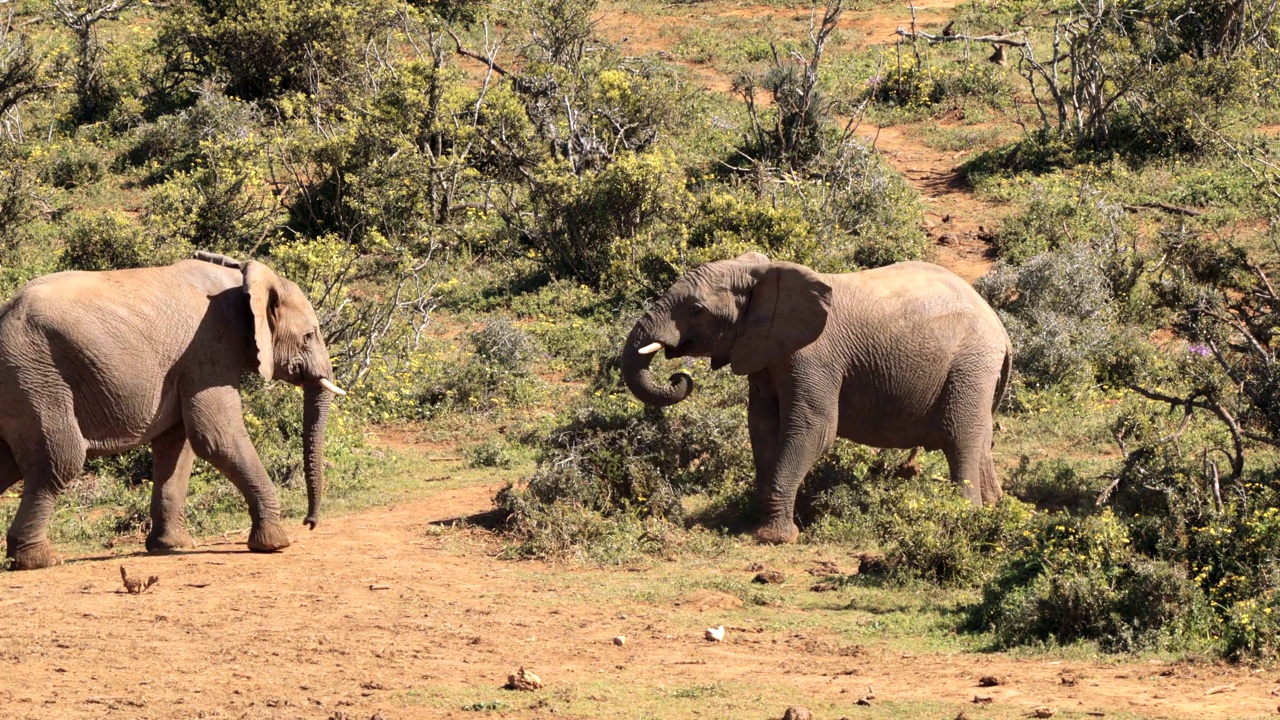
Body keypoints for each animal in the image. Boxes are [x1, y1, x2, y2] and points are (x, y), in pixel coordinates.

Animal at [0, 249, 345, 568]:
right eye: (309, 336)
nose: (309, 523)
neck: (240, 277)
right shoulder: (209, 349)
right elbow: (216, 437)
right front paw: (275, 544)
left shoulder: (188, 364)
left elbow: (177, 444)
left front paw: (172, 546)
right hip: (35, 376)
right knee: (60, 460)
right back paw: (40, 560)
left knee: (10, 464)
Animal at [624, 254, 1013, 540]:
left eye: (696, 310)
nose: (680, 377)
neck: (767, 276)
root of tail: (1002, 332)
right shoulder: (765, 351)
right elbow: (762, 427)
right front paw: (760, 527)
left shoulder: (813, 356)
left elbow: (813, 429)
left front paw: (775, 538)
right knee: (980, 438)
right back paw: (994, 507)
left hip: (970, 365)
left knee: (959, 438)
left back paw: (965, 518)